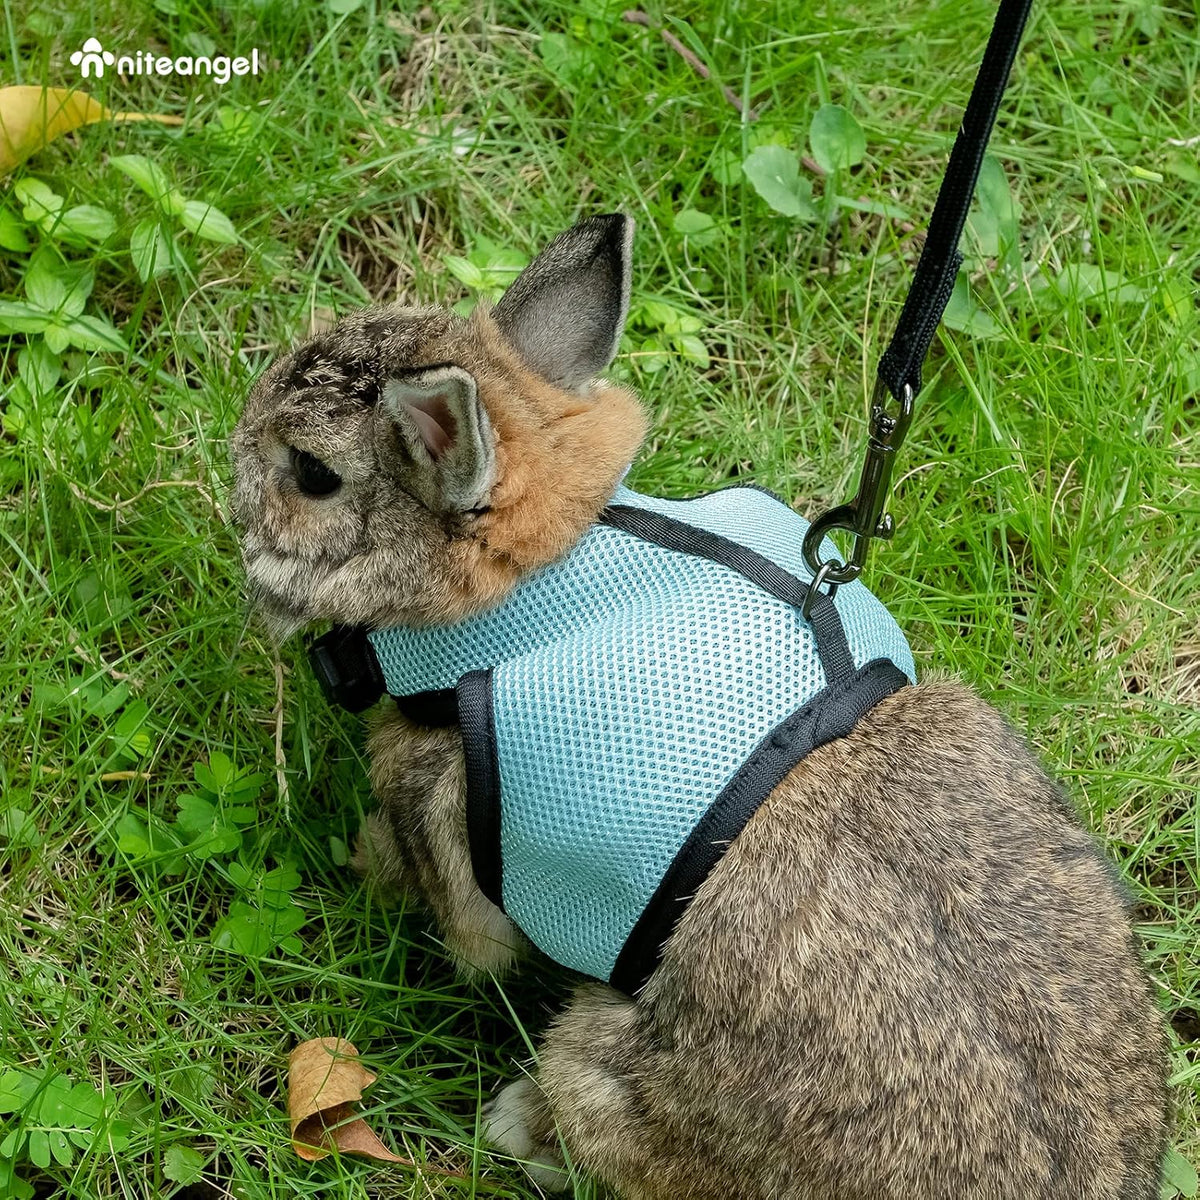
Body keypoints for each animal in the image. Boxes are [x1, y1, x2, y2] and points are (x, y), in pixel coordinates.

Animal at [230, 213, 1170, 1199]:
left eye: (311, 473)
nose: (232, 464)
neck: (540, 572)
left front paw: (361, 859)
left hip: (609, 1074)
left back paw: (517, 1124)